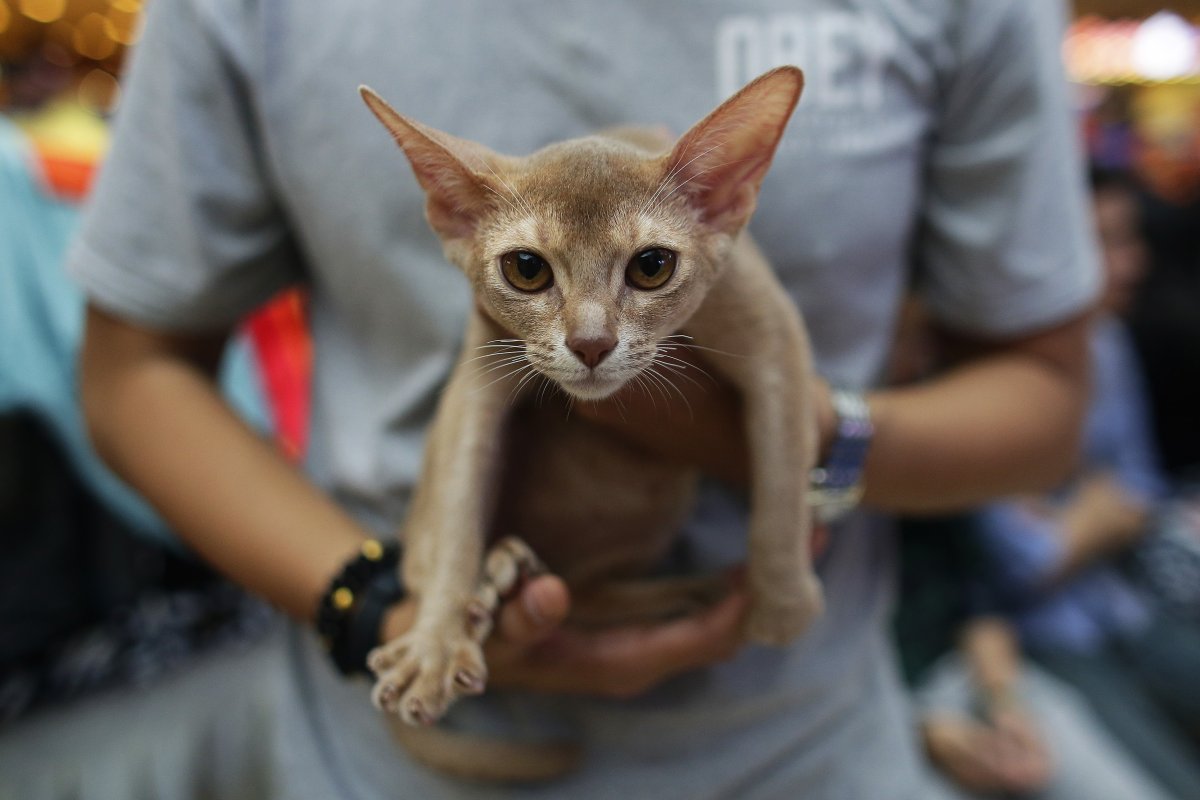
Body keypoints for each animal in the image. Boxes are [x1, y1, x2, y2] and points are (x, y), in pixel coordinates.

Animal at [360, 67, 820, 782]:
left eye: (652, 266)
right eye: (526, 269)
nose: (591, 343)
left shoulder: (773, 331)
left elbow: (781, 474)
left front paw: (783, 602)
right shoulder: (479, 373)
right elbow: (459, 506)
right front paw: (434, 642)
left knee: (585, 590)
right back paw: (502, 573)